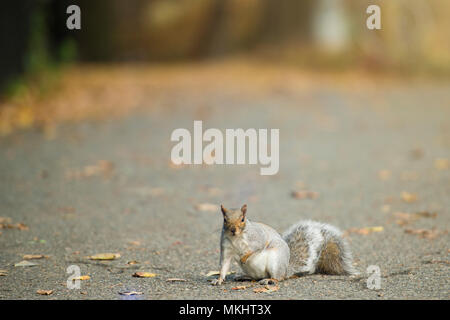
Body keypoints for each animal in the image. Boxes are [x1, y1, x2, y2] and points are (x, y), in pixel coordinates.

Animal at [212, 205, 358, 284]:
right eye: (224, 219)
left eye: (242, 219)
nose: (233, 230)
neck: (236, 238)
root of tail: (287, 269)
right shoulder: (226, 248)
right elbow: (224, 265)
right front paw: (219, 279)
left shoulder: (258, 238)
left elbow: (256, 249)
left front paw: (245, 256)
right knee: (256, 277)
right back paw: (244, 276)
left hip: (275, 262)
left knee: (278, 278)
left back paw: (270, 280)